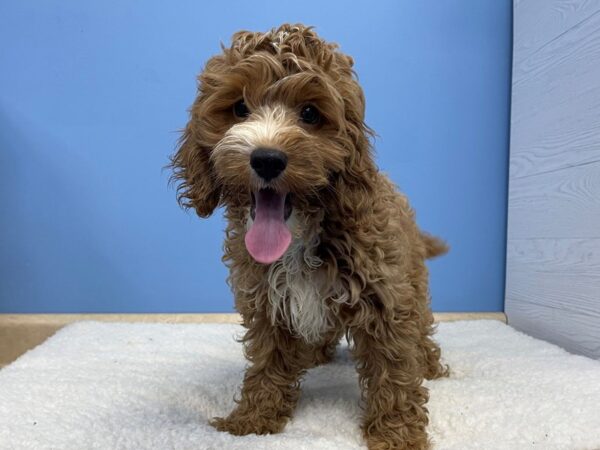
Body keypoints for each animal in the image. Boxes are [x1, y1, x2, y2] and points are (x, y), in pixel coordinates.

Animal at [171, 23, 448, 450]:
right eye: (239, 108)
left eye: (310, 114)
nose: (267, 159)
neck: (301, 233)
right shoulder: (266, 301)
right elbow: (268, 361)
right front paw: (254, 418)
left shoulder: (385, 294)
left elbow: (394, 366)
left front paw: (397, 434)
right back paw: (313, 353)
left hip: (412, 281)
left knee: (419, 328)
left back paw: (430, 363)